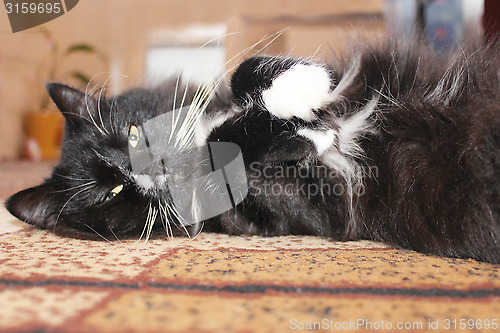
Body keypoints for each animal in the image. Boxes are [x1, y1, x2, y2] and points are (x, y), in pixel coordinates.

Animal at [4, 39, 500, 262]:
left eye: (129, 134)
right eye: (112, 193)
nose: (152, 170)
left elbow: (245, 69)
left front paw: (304, 84)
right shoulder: (314, 208)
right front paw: (310, 135)